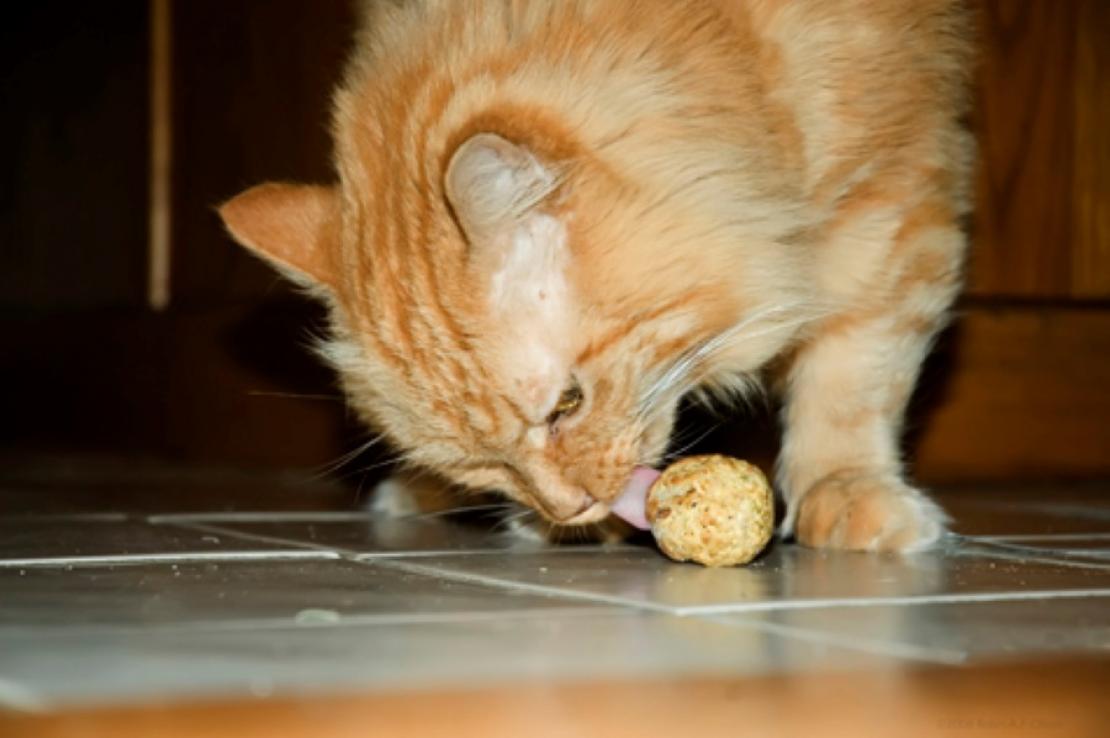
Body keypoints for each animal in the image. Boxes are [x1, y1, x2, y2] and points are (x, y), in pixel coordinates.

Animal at [223, 0, 972, 550]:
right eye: (483, 462)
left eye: (567, 404)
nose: (573, 506)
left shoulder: (892, 199)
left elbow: (852, 380)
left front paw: (846, 491)